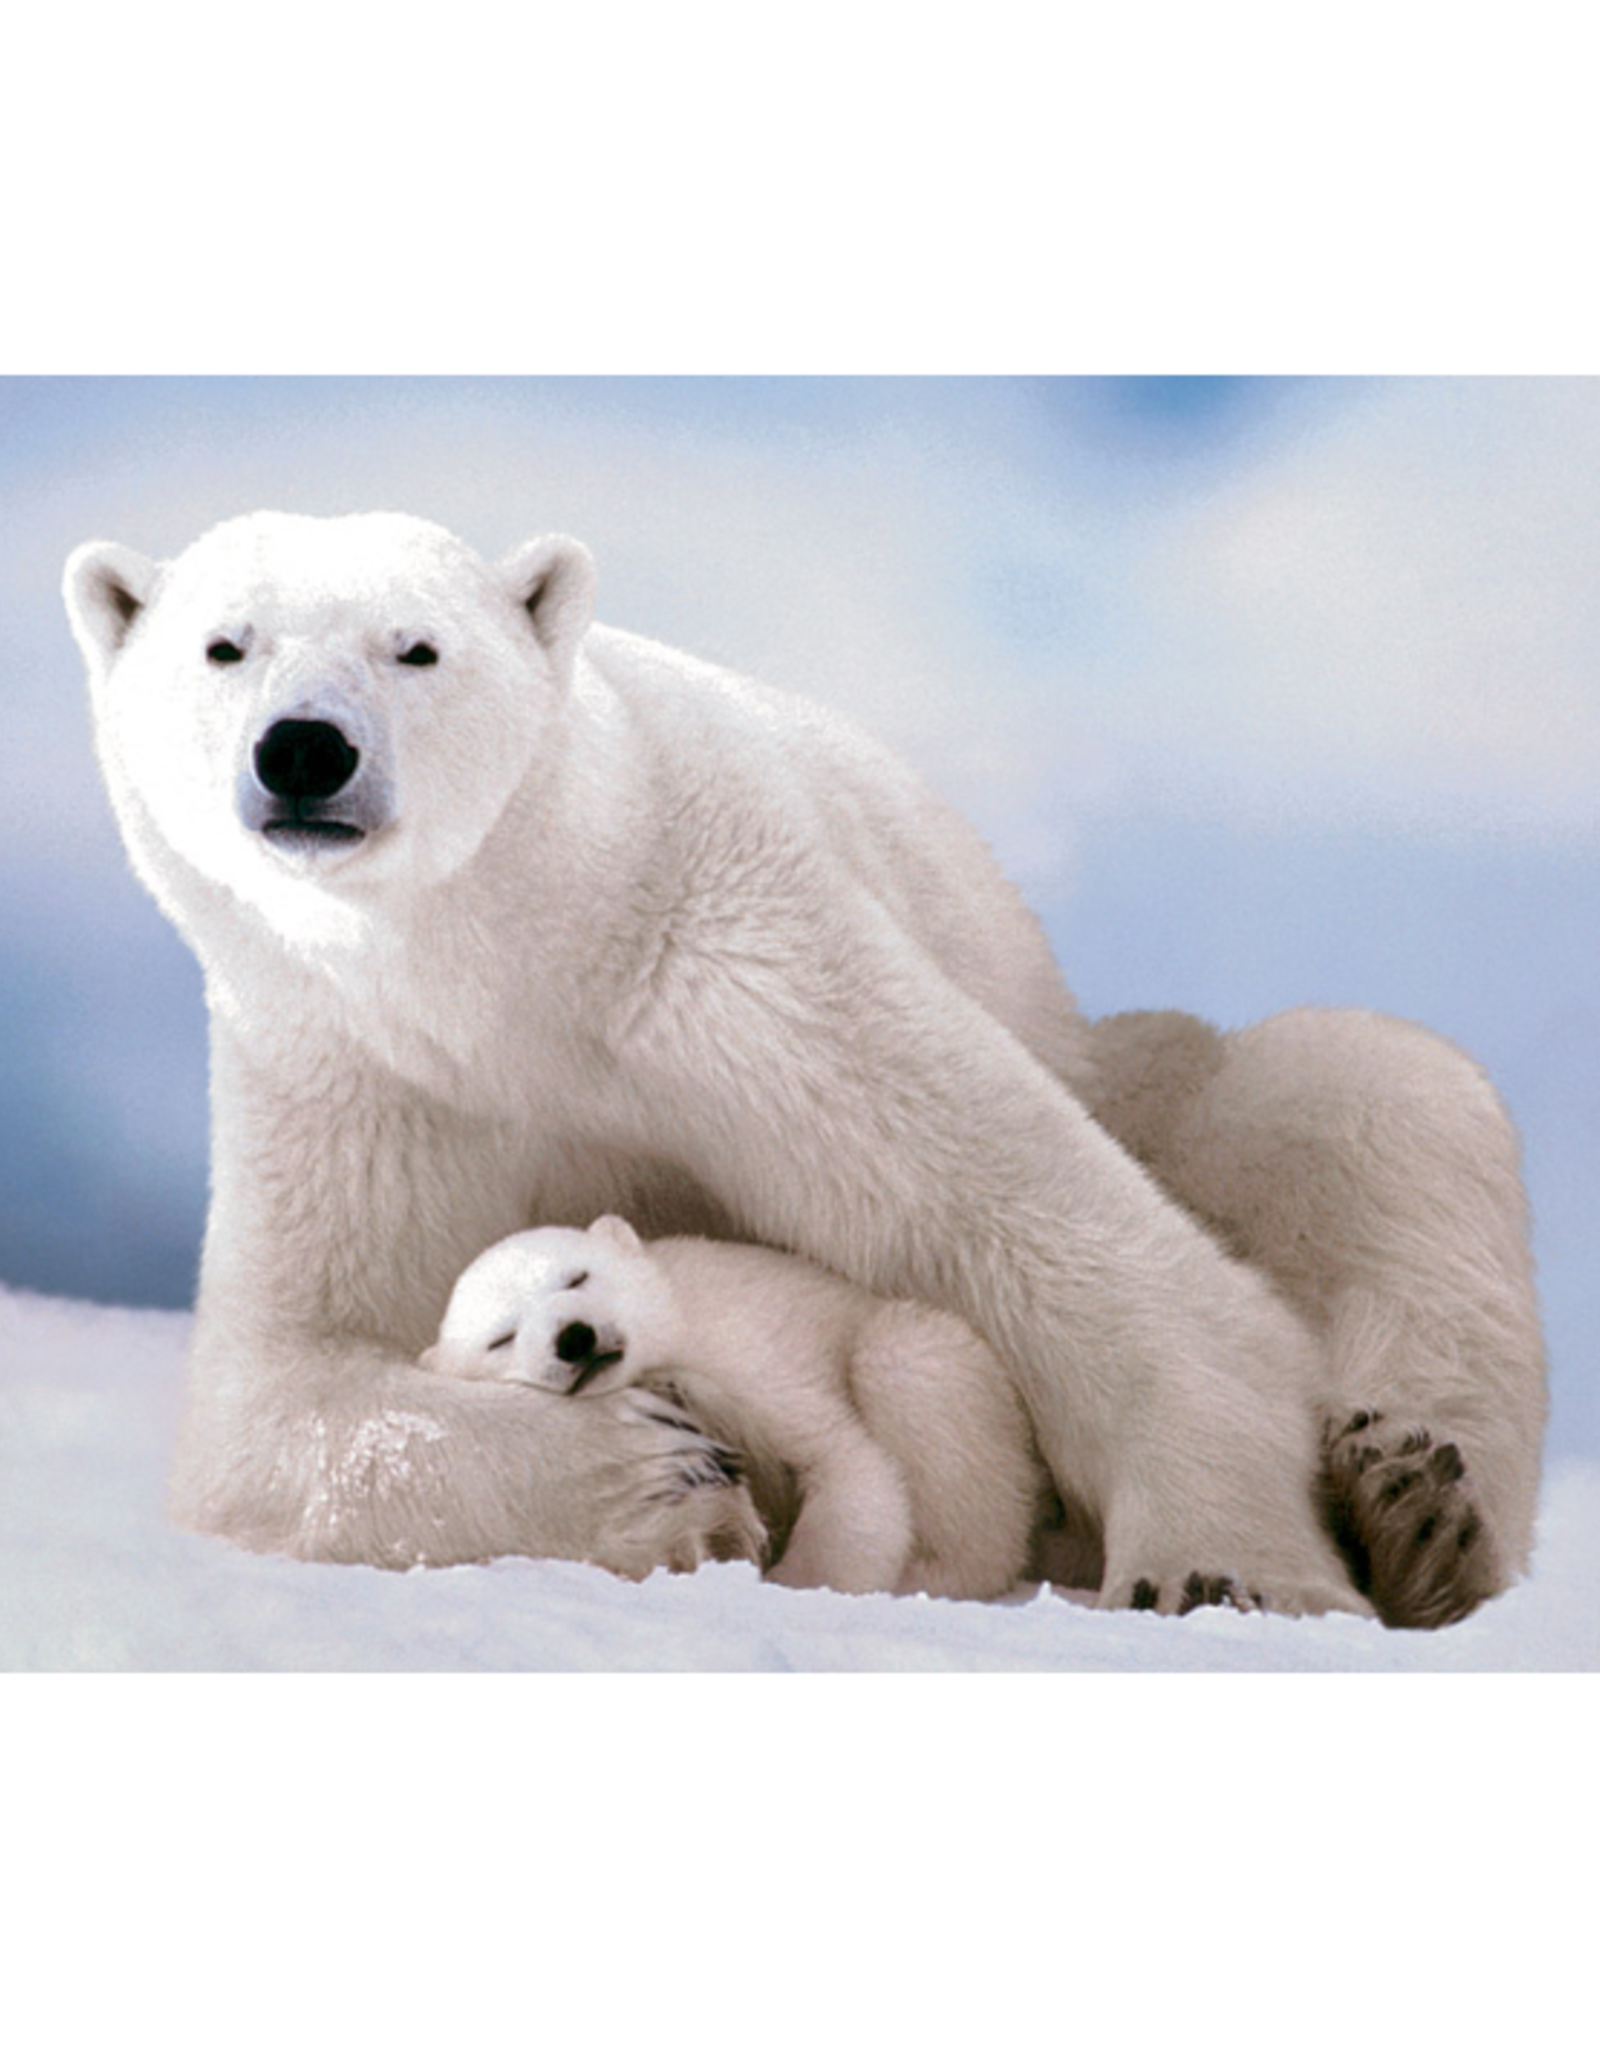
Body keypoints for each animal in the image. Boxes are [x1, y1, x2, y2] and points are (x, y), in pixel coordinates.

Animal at [420, 1216, 1047, 1599]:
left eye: (577, 1275)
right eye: (501, 1338)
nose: (574, 1338)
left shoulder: (747, 1352)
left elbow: (844, 1463)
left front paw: (799, 1582)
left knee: (907, 1358)